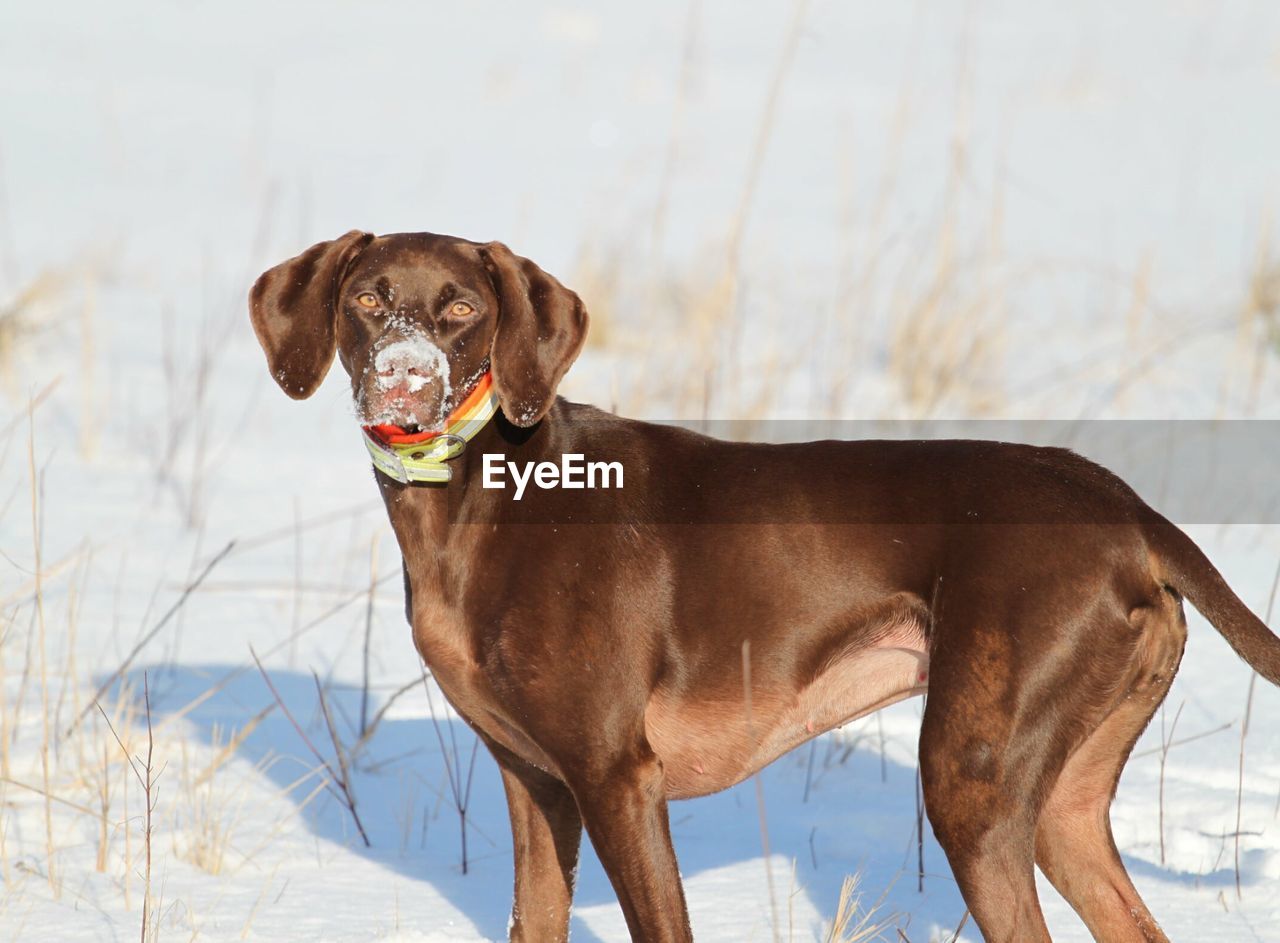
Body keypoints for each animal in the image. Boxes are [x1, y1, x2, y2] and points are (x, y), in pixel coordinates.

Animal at [249, 230, 1280, 941]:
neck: (481, 497)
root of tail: (1131, 512)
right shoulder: (537, 785)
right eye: (369, 298)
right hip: (1062, 806)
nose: (405, 381)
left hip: (972, 782)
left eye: (462, 310)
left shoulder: (618, 778)